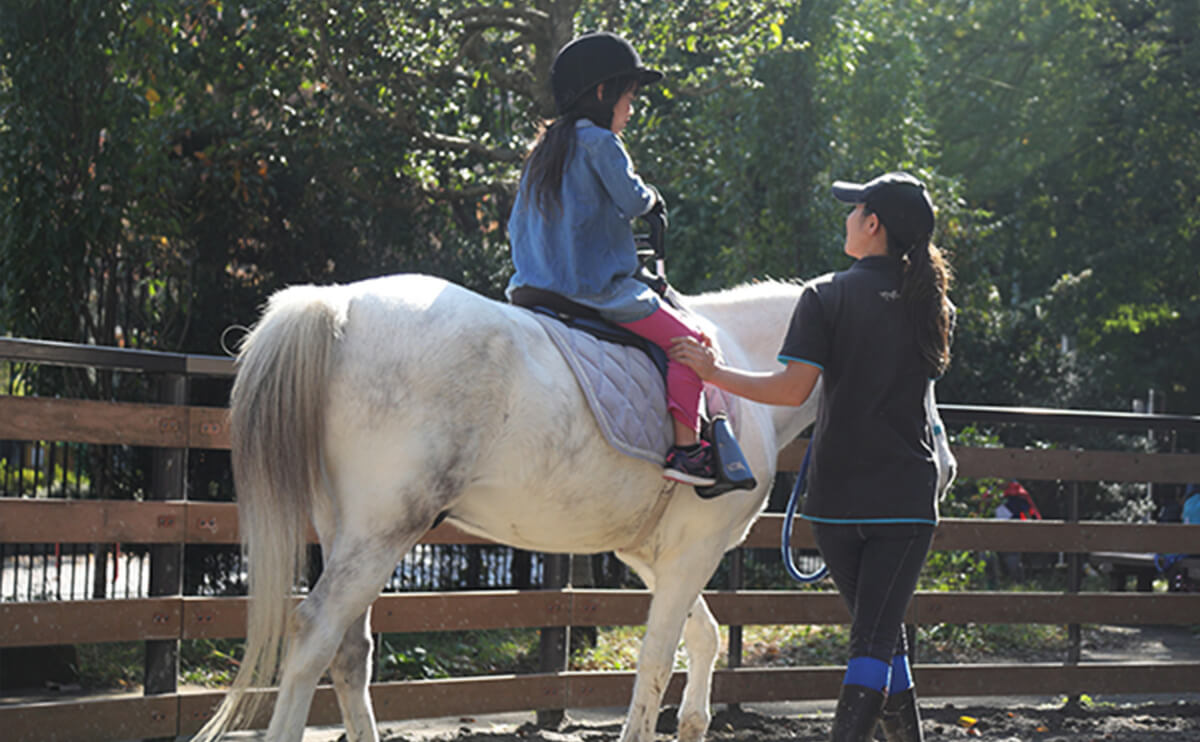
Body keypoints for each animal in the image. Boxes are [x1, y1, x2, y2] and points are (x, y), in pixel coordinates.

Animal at [194, 272, 816, 739]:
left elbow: (702, 636)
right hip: (382, 532)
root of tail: (336, 303)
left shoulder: (653, 556)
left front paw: (693, 721)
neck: (740, 364)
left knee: (350, 651)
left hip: (347, 532)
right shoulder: (693, 552)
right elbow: (659, 659)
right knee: (314, 635)